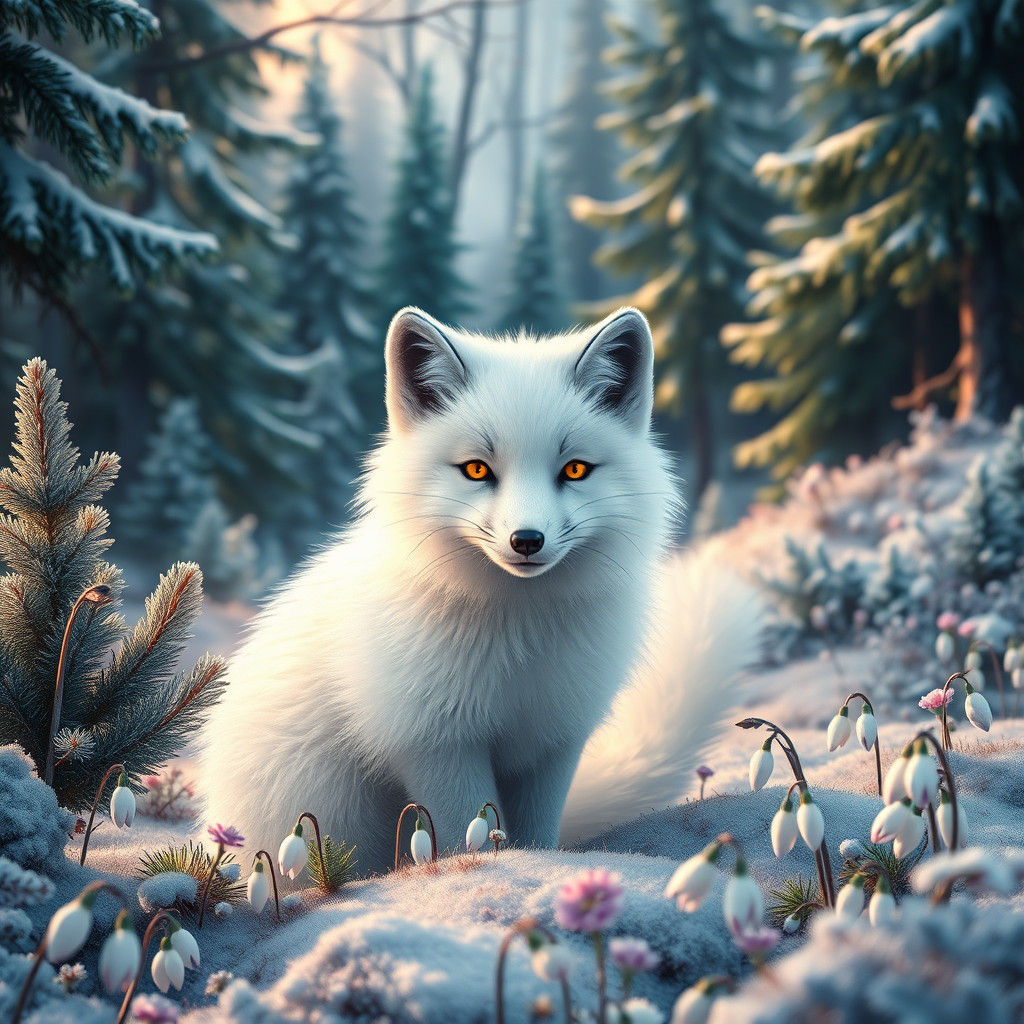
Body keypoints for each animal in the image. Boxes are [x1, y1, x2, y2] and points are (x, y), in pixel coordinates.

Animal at [198, 306, 760, 874]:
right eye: (476, 469)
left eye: (575, 469)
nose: (527, 540)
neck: (519, 648)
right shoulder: (435, 741)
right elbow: (468, 830)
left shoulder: (553, 739)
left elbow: (537, 834)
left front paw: (538, 864)